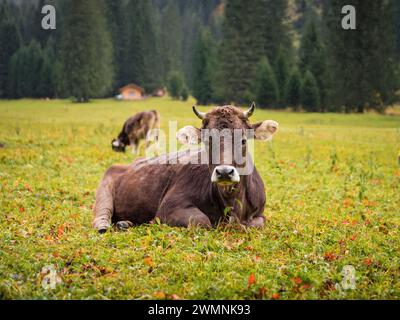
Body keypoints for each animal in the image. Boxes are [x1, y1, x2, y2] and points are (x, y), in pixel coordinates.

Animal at [94, 104, 278, 232]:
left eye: (244, 140)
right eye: (207, 141)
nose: (224, 172)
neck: (232, 204)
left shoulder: (259, 213)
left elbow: (255, 224)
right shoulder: (170, 205)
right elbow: (202, 221)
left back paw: (125, 223)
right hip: (104, 189)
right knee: (102, 215)